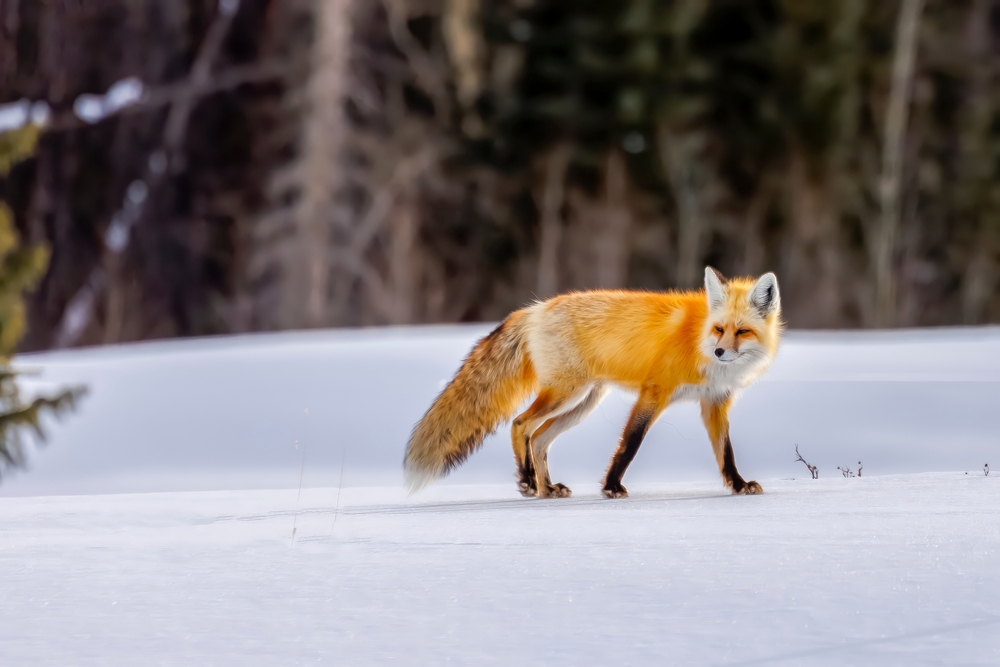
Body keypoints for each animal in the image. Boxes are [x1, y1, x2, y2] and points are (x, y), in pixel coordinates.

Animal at [403, 267, 782, 499]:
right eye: (719, 329)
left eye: (742, 331)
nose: (719, 351)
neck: (698, 339)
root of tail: (534, 308)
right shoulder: (654, 393)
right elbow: (629, 444)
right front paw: (611, 486)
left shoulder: (714, 402)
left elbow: (726, 452)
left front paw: (738, 485)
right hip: (565, 393)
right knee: (520, 424)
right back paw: (528, 481)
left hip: (583, 402)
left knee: (539, 439)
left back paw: (546, 488)